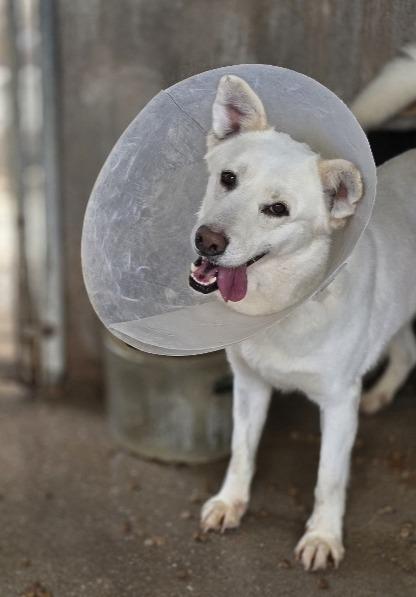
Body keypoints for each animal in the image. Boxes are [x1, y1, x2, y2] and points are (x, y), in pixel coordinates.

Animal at [188, 61, 416, 571]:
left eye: (277, 210)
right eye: (227, 178)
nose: (207, 241)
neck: (285, 307)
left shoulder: (338, 404)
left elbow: (329, 478)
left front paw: (323, 537)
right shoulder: (250, 385)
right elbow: (241, 452)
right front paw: (230, 503)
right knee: (407, 350)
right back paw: (382, 394)